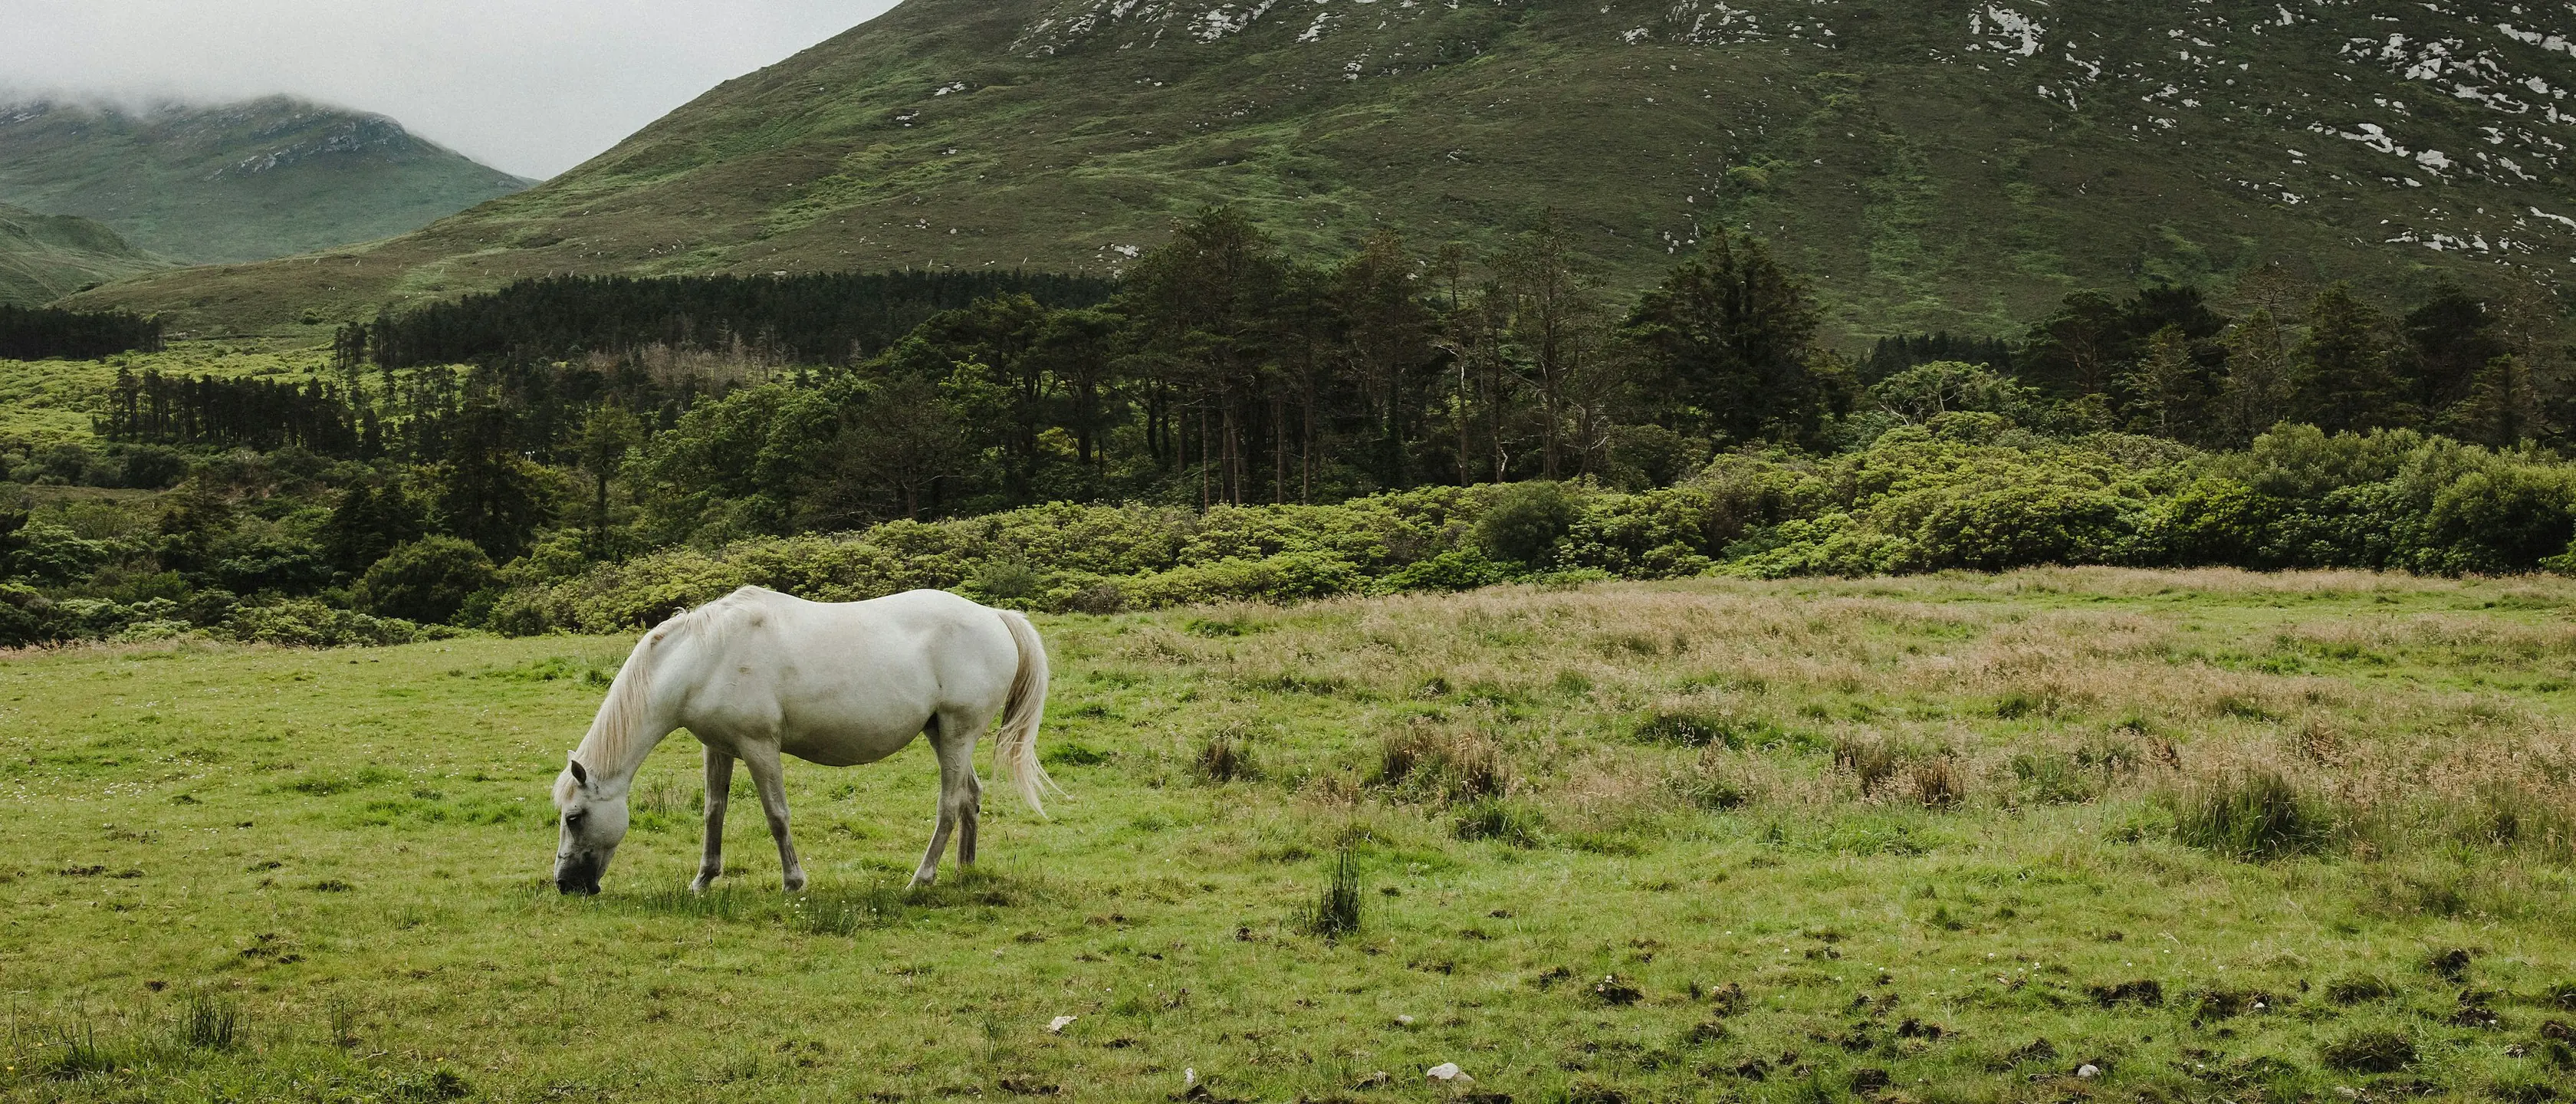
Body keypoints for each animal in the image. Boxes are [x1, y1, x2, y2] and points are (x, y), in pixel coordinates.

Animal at [549, 586, 1055, 895]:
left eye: (575, 817)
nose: (565, 884)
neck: (706, 656)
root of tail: (993, 616)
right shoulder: (718, 748)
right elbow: (714, 811)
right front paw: (703, 880)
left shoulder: (759, 747)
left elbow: (777, 815)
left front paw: (794, 881)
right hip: (944, 736)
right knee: (971, 797)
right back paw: (964, 871)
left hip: (956, 735)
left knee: (949, 805)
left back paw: (921, 879)